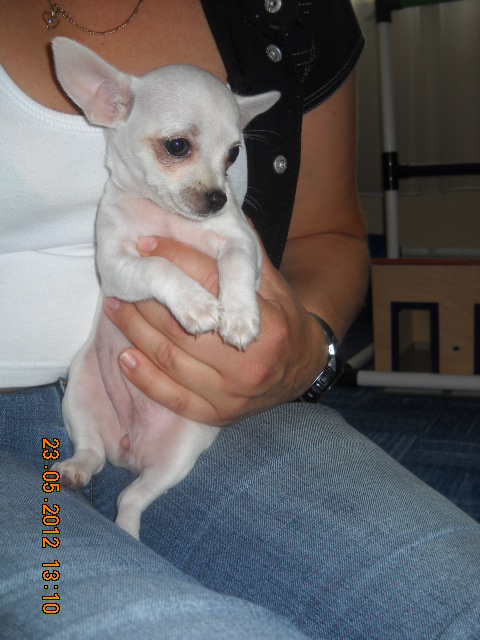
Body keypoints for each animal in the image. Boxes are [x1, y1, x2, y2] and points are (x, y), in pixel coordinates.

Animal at [50, 38, 279, 539]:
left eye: (233, 155)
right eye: (178, 146)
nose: (218, 198)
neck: (168, 218)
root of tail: (128, 450)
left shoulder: (241, 241)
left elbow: (236, 265)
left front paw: (240, 316)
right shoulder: (116, 265)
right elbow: (158, 265)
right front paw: (197, 305)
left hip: (179, 454)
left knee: (131, 498)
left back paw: (127, 531)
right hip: (80, 394)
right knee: (92, 456)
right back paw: (76, 471)